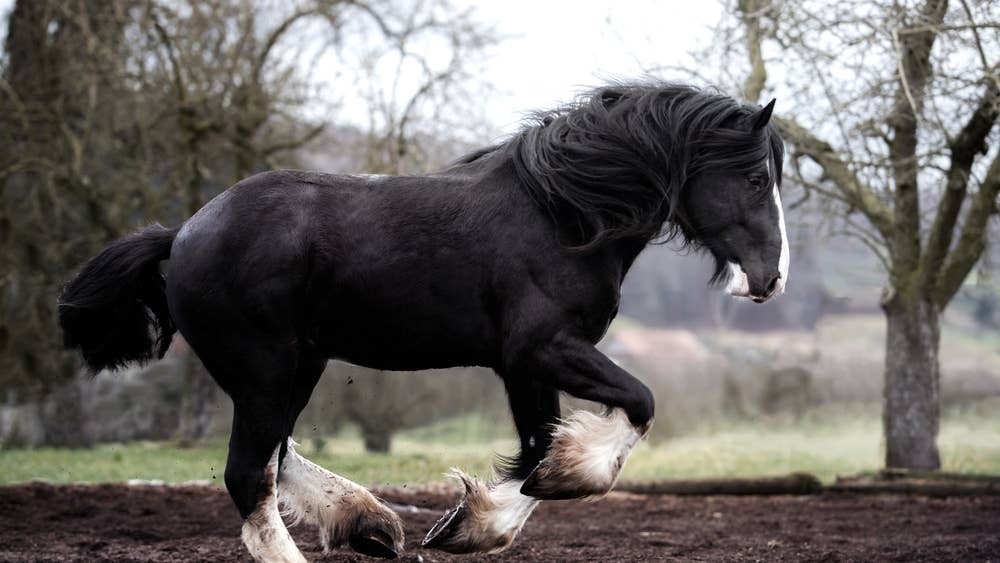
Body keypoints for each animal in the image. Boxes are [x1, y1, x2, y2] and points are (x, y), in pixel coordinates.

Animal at [58, 82, 788, 562]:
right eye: (755, 178)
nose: (770, 278)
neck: (563, 218)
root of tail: (180, 234)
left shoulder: (523, 365)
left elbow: (535, 447)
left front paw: (470, 526)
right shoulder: (544, 348)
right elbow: (635, 404)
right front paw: (556, 480)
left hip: (298, 364)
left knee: (275, 456)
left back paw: (369, 523)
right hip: (264, 368)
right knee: (249, 473)